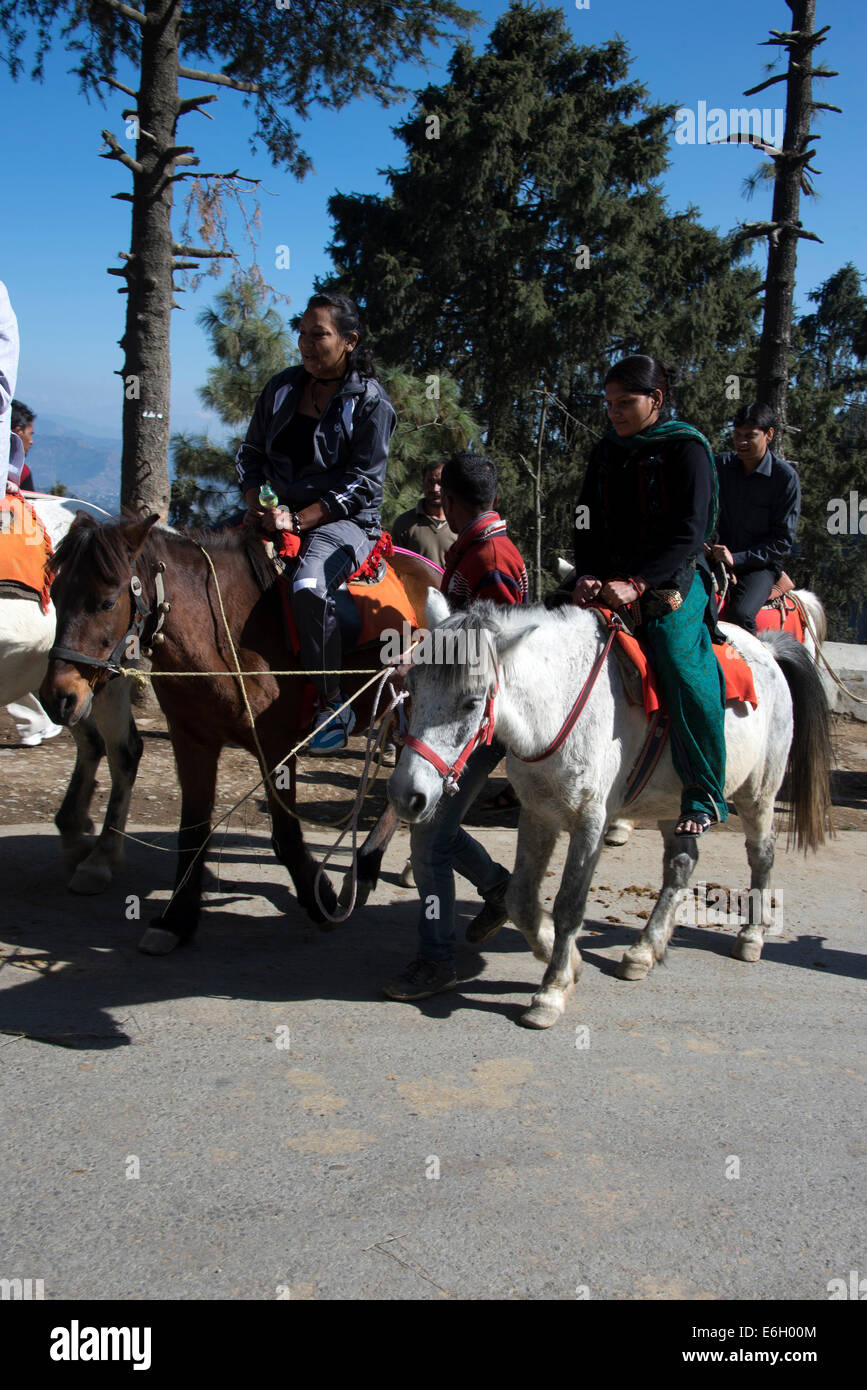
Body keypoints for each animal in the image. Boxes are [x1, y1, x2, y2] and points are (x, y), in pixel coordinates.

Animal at [0, 497, 142, 889]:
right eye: (55, 594)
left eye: (107, 603)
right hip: (68, 691)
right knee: (92, 742)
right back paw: (74, 831)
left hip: (103, 683)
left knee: (124, 751)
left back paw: (100, 855)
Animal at [41, 511, 419, 956]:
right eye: (56, 593)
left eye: (106, 601)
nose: (58, 697)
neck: (223, 631)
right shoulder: (192, 740)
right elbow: (192, 831)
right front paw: (175, 920)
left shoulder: (275, 747)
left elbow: (285, 835)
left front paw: (320, 900)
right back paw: (369, 868)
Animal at [389, 586, 833, 1034]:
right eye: (413, 686)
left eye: (470, 703)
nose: (408, 795)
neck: (560, 704)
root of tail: (767, 650)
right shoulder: (537, 814)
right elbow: (521, 900)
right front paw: (569, 962)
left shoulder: (590, 822)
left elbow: (569, 905)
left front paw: (551, 992)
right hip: (674, 804)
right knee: (681, 864)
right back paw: (644, 951)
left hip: (758, 792)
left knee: (761, 855)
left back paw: (750, 936)